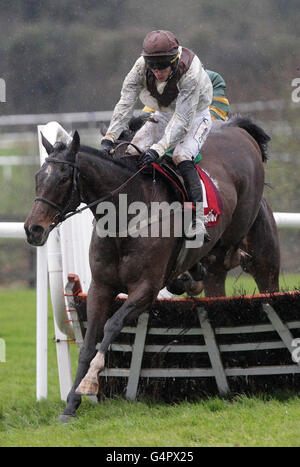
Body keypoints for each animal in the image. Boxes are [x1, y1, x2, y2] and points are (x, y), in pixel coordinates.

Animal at [24, 116, 280, 420]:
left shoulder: (145, 290)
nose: (33, 229)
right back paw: (193, 275)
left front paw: (89, 382)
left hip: (257, 246)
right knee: (215, 281)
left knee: (245, 266)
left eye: (64, 178)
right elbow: (88, 341)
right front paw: (72, 404)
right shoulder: (100, 286)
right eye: (38, 177)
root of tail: (238, 129)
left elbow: (112, 325)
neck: (124, 219)